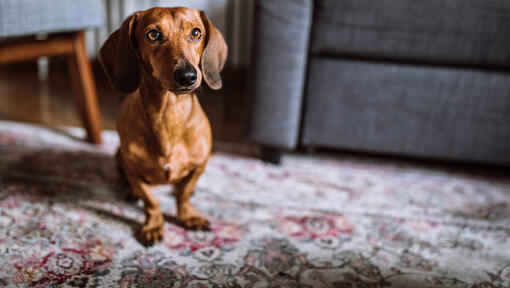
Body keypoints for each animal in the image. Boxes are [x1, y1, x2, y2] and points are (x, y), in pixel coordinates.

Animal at [98, 6, 226, 244]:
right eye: (153, 34)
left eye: (196, 33)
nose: (187, 76)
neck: (169, 114)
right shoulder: (134, 171)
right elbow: (151, 202)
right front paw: (153, 225)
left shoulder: (199, 165)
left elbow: (184, 194)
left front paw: (188, 216)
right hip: (119, 155)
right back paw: (129, 191)